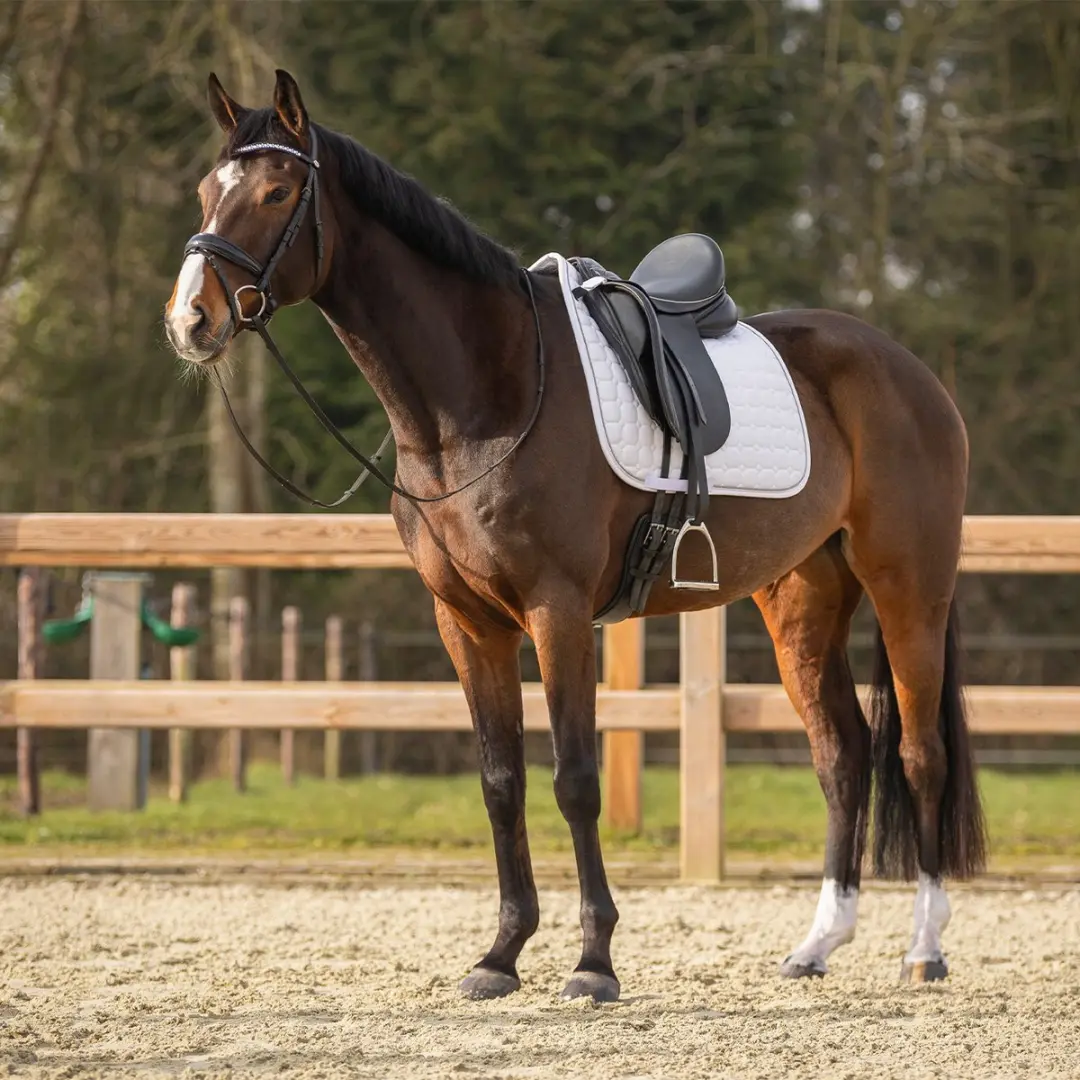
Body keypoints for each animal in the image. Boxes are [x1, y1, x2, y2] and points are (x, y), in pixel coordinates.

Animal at [164, 69, 985, 1002]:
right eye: (207, 191)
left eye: (276, 193)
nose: (190, 321)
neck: (484, 399)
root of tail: (911, 371)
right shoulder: (467, 623)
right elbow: (501, 781)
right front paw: (500, 954)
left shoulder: (557, 614)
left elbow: (575, 779)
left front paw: (594, 962)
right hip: (803, 600)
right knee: (841, 754)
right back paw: (817, 944)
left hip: (908, 589)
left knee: (919, 754)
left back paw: (924, 948)